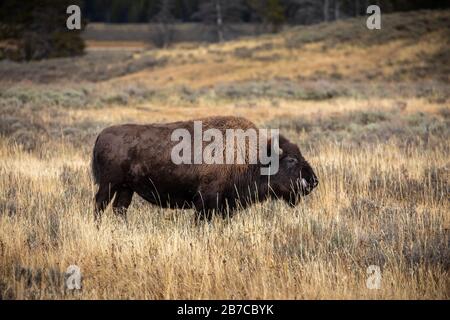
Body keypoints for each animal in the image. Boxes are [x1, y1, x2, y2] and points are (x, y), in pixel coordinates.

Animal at [90, 116, 316, 221]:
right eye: (291, 160)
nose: (314, 180)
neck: (252, 156)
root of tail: (101, 135)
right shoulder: (206, 201)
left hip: (126, 188)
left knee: (119, 209)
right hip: (109, 184)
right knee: (99, 205)